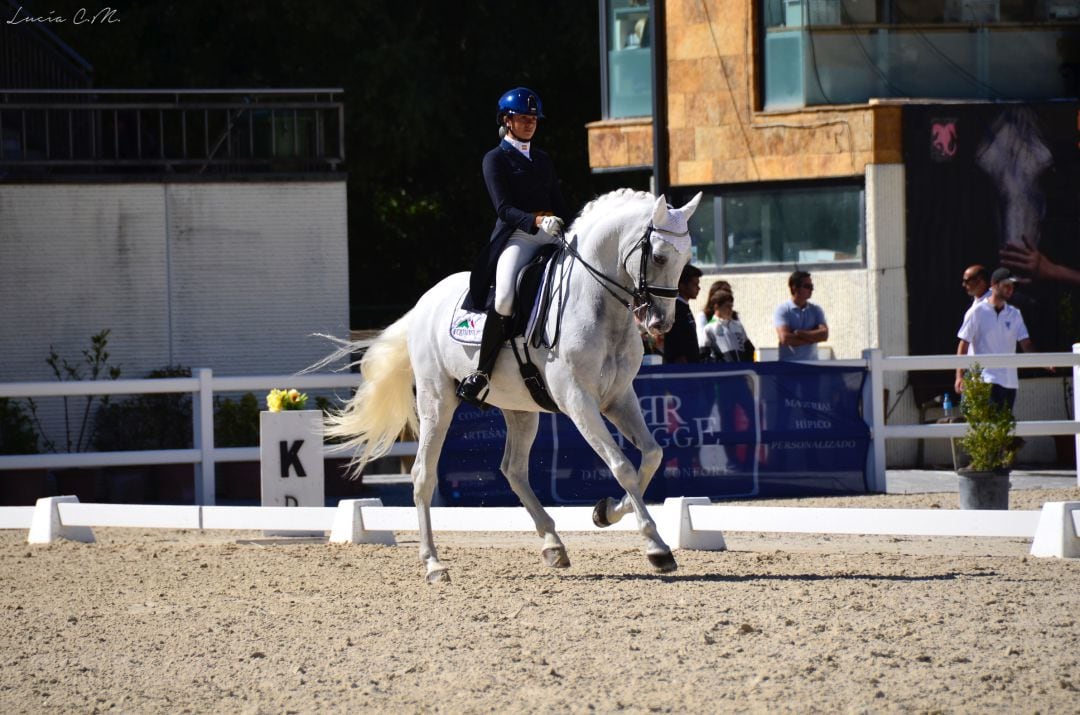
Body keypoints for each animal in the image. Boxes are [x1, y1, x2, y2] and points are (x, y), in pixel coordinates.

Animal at [324, 189, 704, 583]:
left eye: (686, 258)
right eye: (658, 256)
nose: (661, 323)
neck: (596, 305)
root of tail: (423, 304)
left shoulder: (618, 398)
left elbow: (652, 455)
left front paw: (604, 512)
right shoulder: (578, 401)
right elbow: (622, 465)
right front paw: (656, 548)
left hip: (520, 408)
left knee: (514, 469)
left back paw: (553, 545)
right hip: (436, 401)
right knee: (423, 475)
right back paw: (434, 564)